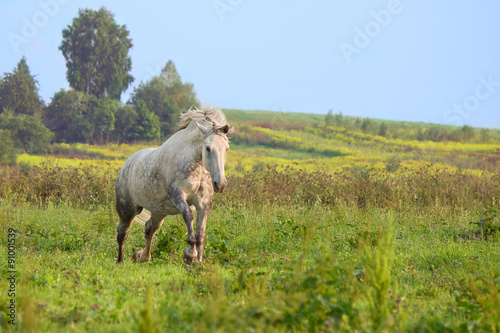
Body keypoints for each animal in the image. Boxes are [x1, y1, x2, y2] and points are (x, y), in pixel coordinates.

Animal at [115, 105, 230, 262]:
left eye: (226, 148)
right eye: (208, 148)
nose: (220, 184)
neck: (196, 167)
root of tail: (127, 165)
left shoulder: (204, 202)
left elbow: (201, 235)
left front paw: (198, 262)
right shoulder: (178, 195)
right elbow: (189, 215)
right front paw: (189, 254)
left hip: (159, 211)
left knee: (149, 228)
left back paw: (142, 256)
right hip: (128, 209)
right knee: (122, 232)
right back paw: (120, 261)